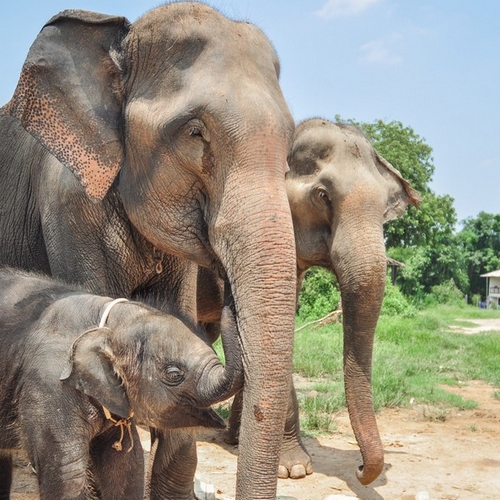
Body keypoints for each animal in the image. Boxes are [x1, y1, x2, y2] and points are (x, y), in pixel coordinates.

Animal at [0, 268, 242, 500]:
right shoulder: (48, 385)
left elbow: (125, 465)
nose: (228, 288)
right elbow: (66, 475)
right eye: (174, 374)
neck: (108, 320)